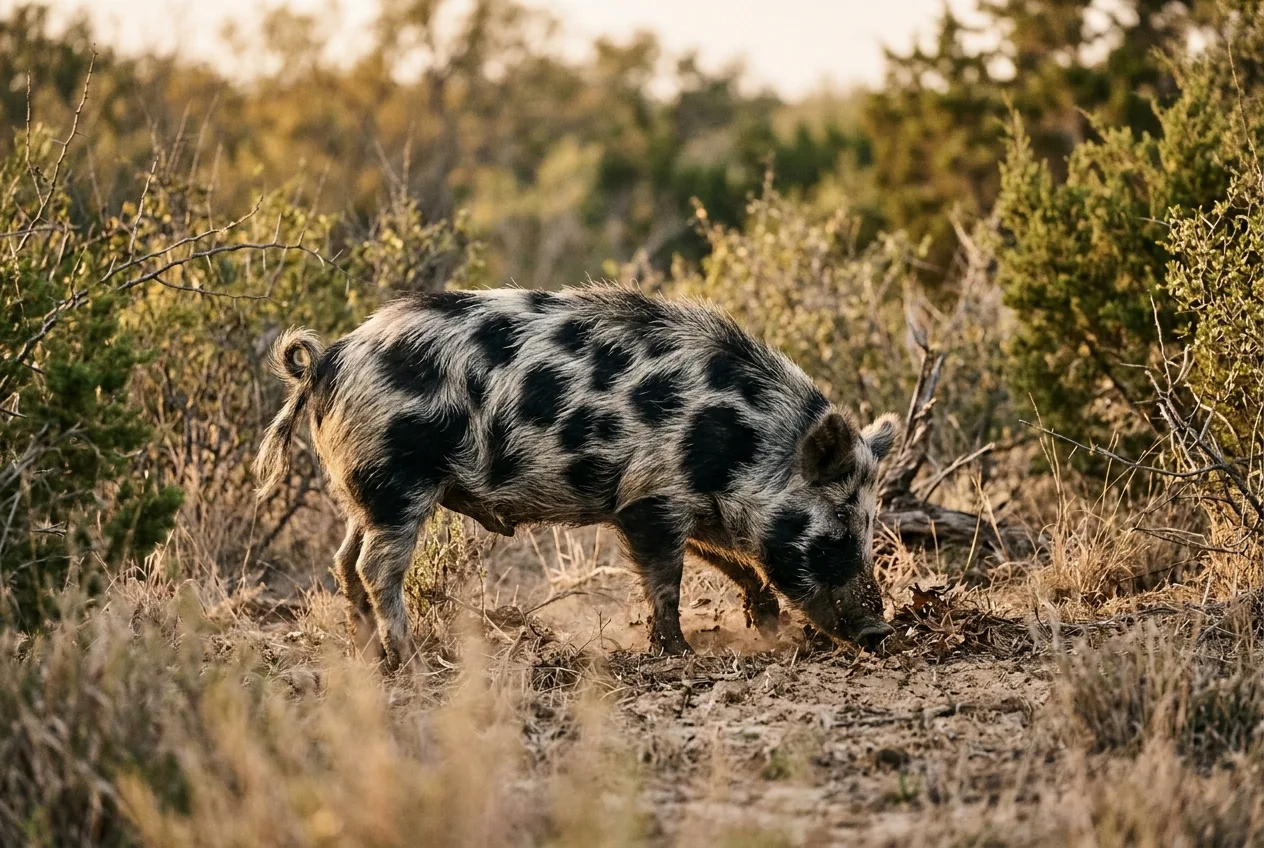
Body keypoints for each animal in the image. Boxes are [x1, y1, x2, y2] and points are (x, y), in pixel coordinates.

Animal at [253, 286, 902, 670]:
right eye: (836, 532)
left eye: (871, 528)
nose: (879, 630)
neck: (736, 440)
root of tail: (329, 360)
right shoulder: (650, 496)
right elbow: (666, 582)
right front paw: (680, 654)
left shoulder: (690, 505)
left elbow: (735, 560)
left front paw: (767, 627)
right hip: (396, 479)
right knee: (374, 566)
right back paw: (411, 661)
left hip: (363, 488)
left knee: (343, 558)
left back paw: (367, 654)